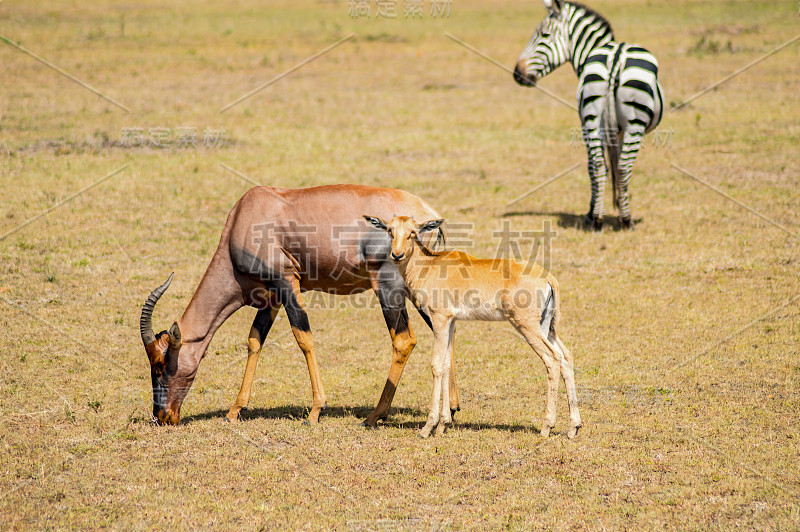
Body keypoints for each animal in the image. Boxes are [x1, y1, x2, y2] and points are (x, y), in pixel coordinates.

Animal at [141, 185, 460, 426]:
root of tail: (428, 216)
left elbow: (303, 338)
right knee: (444, 332)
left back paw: (374, 416)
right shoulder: (271, 297)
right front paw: (234, 411)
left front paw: (316, 410)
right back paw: (453, 408)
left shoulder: (287, 283)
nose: (162, 417)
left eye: (160, 364)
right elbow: (254, 341)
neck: (247, 218)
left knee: (404, 340)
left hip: (388, 287)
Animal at [362, 214, 580, 438]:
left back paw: (547, 427)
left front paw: (428, 427)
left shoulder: (440, 319)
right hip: (547, 328)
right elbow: (447, 364)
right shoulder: (451, 321)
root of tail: (548, 278)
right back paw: (573, 427)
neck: (431, 265)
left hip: (527, 327)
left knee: (552, 359)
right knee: (566, 357)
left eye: (412, 232)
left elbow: (437, 365)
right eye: (390, 230)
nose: (397, 254)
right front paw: (443, 424)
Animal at [512, 0, 664, 230]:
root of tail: (615, 59)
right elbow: (611, 165)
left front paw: (603, 208)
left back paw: (602, 219)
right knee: (621, 167)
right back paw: (624, 220)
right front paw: (610, 207)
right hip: (631, 125)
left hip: (595, 120)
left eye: (544, 35)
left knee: (601, 166)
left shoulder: (597, 127)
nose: (517, 73)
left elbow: (601, 166)